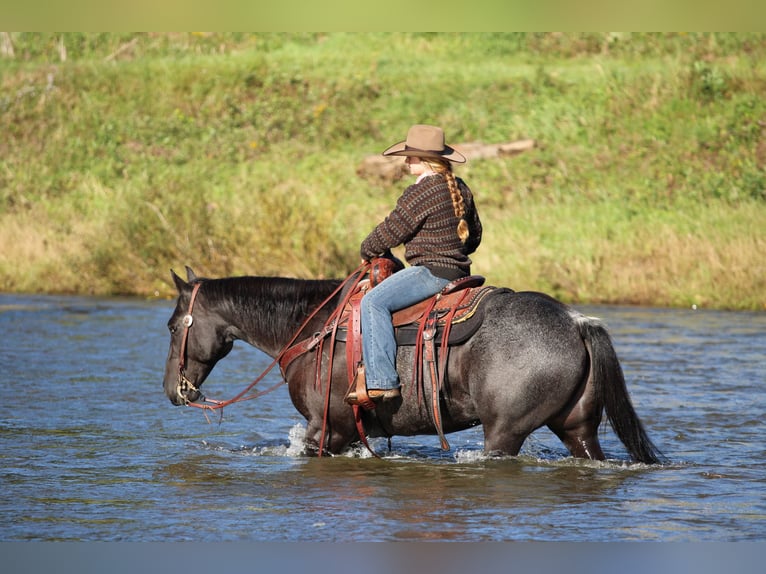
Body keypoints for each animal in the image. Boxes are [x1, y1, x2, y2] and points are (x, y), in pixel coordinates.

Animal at [163, 266, 663, 464]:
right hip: (577, 428)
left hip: (504, 433)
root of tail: (576, 322)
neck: (313, 328)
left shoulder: (327, 429)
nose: (174, 390)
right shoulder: (349, 433)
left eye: (171, 326)